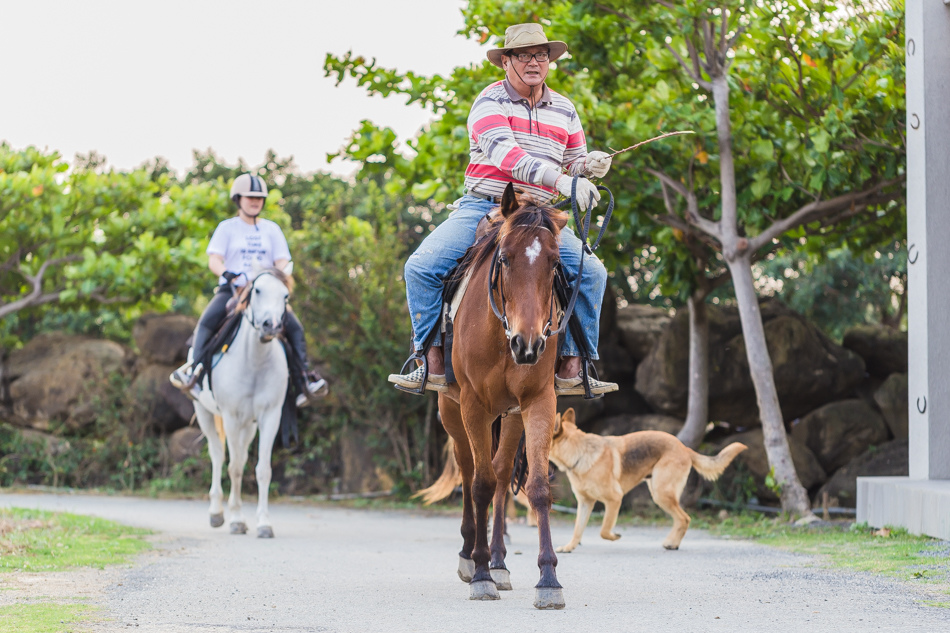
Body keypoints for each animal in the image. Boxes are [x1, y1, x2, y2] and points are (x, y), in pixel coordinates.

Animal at [192, 264, 296, 536]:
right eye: (257, 290)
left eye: (285, 296)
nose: (271, 325)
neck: (255, 361)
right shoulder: (231, 416)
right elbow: (235, 468)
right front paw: (237, 519)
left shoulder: (271, 416)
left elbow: (263, 470)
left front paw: (264, 523)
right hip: (205, 413)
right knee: (218, 455)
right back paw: (217, 512)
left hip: (249, 425)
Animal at [440, 181, 568, 608]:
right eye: (505, 258)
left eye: (554, 263)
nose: (528, 344)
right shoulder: (472, 405)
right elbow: (478, 485)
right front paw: (479, 574)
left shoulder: (539, 401)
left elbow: (539, 488)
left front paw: (548, 579)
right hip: (451, 411)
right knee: (470, 471)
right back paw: (471, 556)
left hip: (510, 416)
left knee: (498, 473)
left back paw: (498, 561)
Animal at [552, 408, 752, 552]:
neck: (579, 454)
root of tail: (684, 448)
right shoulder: (585, 503)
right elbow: (578, 529)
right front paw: (569, 547)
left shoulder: (614, 499)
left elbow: (604, 530)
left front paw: (615, 535)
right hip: (661, 494)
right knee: (681, 519)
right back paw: (672, 542)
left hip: (661, 494)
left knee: (684, 518)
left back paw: (673, 544)